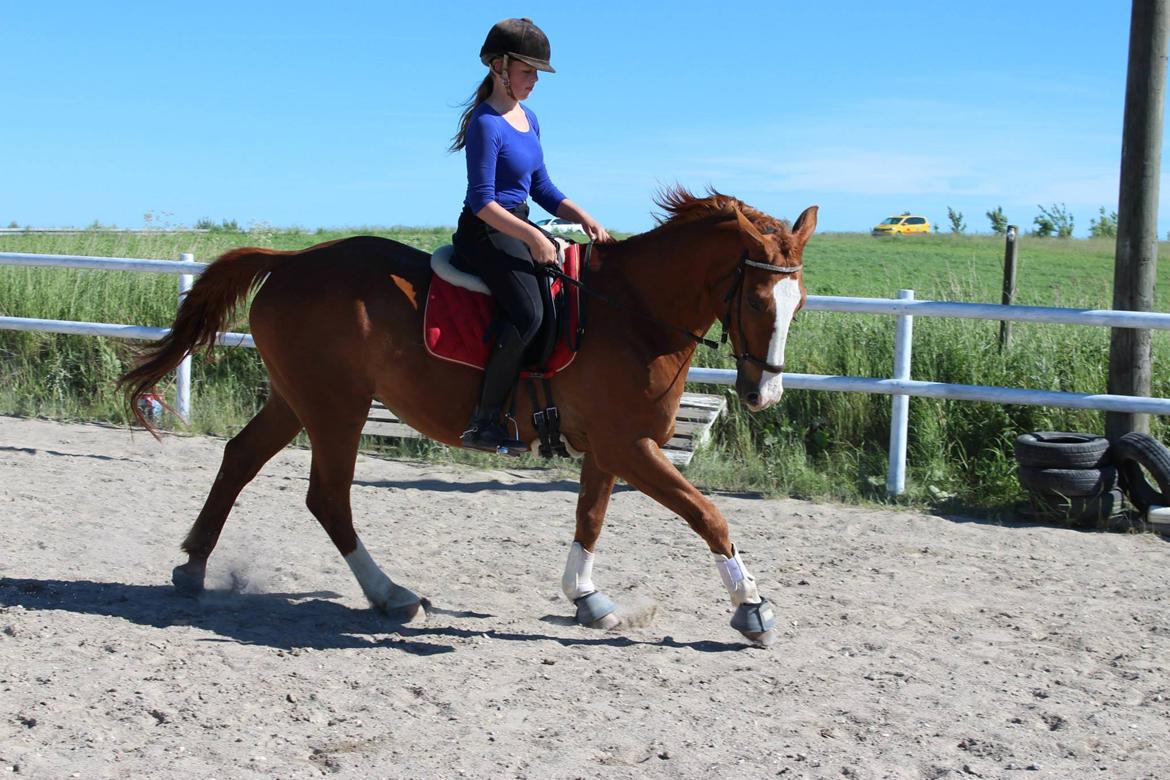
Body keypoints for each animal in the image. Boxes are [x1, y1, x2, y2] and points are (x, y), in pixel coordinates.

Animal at [118, 190, 814, 645]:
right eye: (757, 300)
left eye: (799, 301)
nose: (765, 395)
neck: (632, 313)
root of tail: (289, 262)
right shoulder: (630, 445)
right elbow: (708, 515)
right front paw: (753, 609)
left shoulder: (607, 448)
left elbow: (590, 518)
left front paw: (588, 599)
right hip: (336, 408)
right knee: (328, 497)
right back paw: (391, 595)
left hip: (296, 400)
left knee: (240, 458)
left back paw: (194, 567)